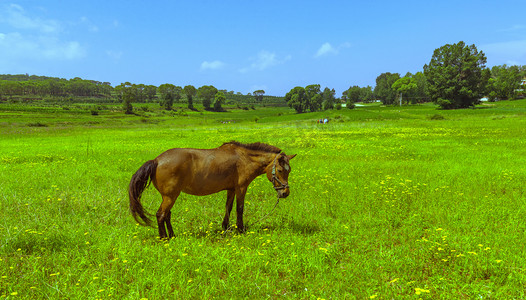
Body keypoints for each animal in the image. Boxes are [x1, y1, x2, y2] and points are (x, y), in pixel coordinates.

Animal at [128, 141, 296, 239]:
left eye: (289, 170)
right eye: (280, 170)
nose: (285, 193)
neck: (244, 158)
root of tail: (156, 160)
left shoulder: (231, 189)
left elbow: (228, 207)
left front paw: (225, 228)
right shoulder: (241, 188)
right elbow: (239, 208)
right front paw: (240, 229)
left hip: (170, 196)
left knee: (167, 215)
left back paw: (172, 235)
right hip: (170, 196)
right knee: (161, 214)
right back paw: (164, 238)